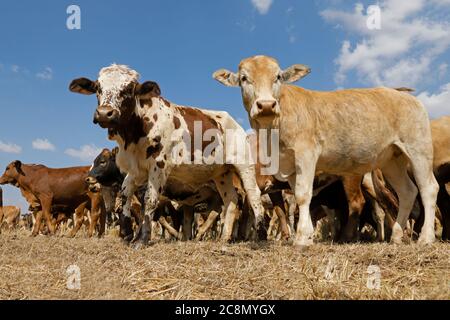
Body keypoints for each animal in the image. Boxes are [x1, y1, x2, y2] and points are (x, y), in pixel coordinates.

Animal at [69, 63, 266, 246]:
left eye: (128, 89)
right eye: (98, 87)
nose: (104, 113)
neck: (134, 133)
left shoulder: (159, 166)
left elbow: (150, 201)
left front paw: (142, 239)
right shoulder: (136, 169)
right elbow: (126, 194)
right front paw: (127, 234)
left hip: (244, 165)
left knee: (253, 194)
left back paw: (259, 235)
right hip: (221, 174)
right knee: (230, 199)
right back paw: (225, 237)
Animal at [214, 55, 440, 246]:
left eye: (278, 76)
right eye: (244, 78)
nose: (267, 105)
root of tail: (400, 93)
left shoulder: (306, 154)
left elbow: (303, 195)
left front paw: (301, 238)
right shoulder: (291, 167)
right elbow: (299, 196)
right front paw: (306, 236)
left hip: (417, 149)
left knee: (428, 188)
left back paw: (425, 238)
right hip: (392, 160)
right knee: (407, 192)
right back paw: (397, 236)